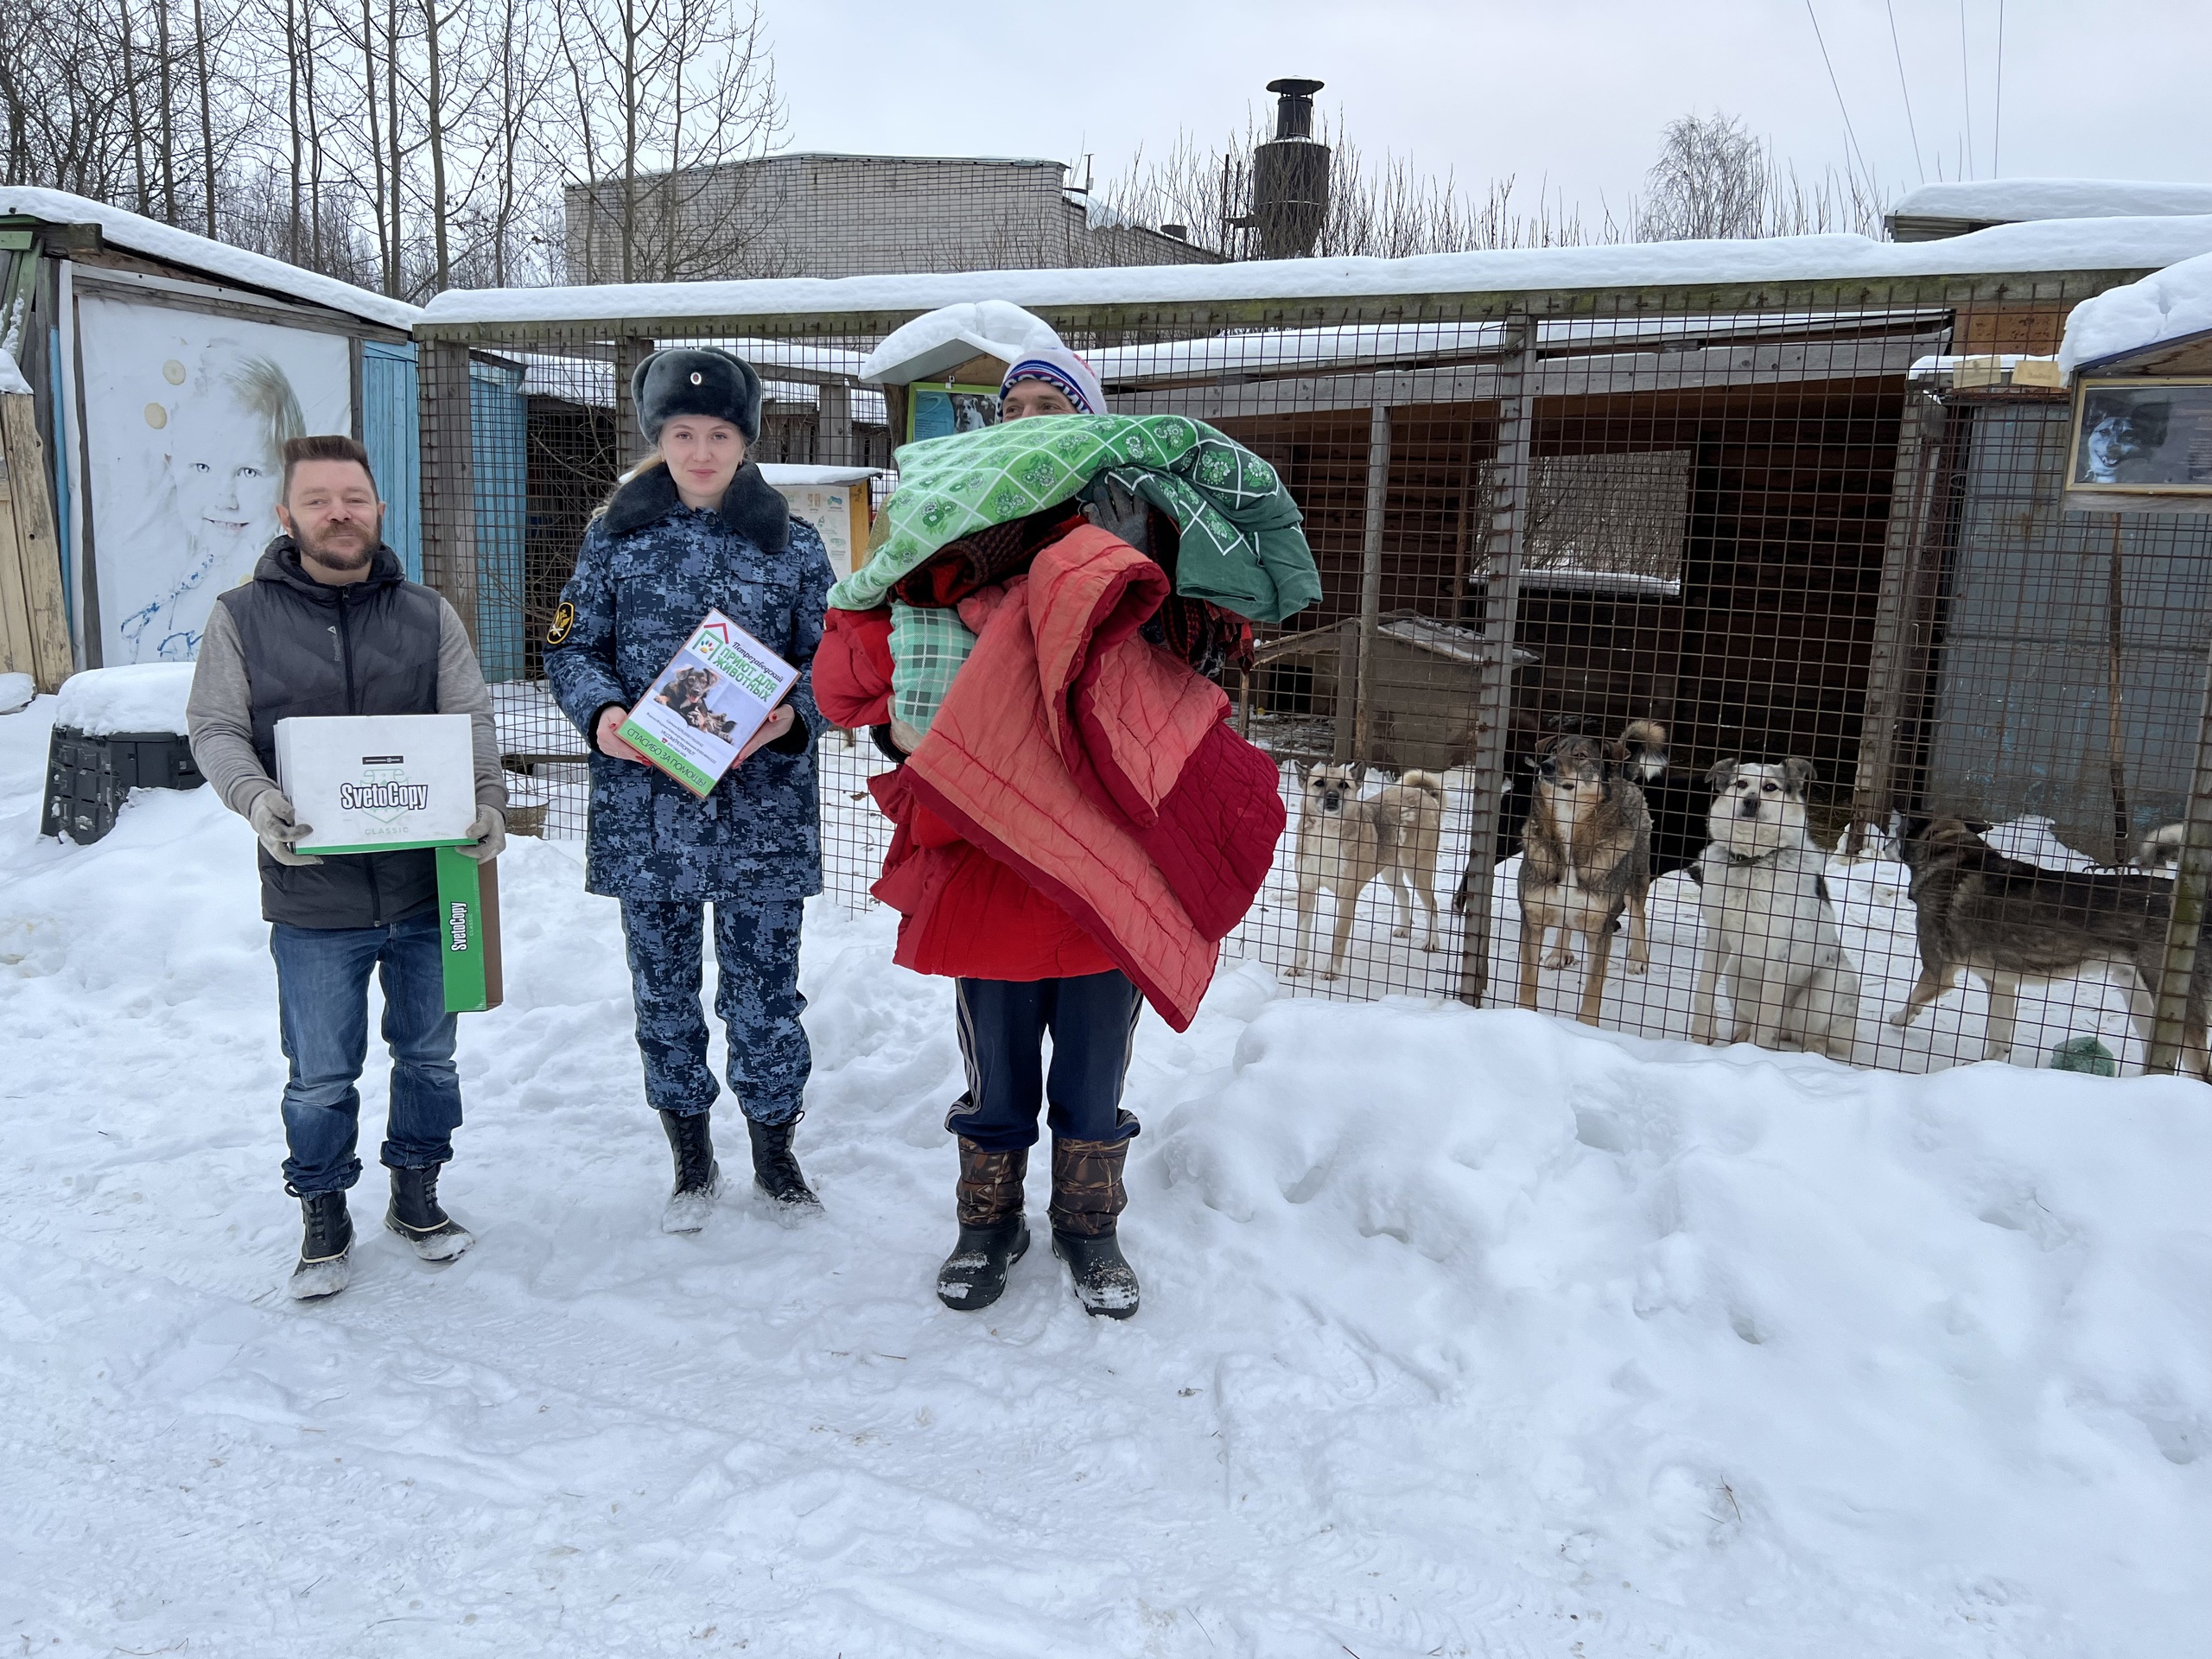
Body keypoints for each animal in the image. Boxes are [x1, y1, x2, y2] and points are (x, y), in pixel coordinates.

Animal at [1292, 769, 1442, 986]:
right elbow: (1302, 936)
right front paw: (1297, 967)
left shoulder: (1347, 897)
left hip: (1417, 869)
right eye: (1319, 783)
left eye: (1344, 785)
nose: (1332, 797)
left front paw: (1332, 971)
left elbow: (1339, 937)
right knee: (1404, 895)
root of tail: (1423, 794)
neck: (1327, 832)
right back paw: (1404, 929)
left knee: (1432, 904)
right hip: (1389, 870)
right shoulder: (1306, 891)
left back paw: (1431, 942)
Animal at [1513, 739, 1654, 1026]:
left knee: (1639, 913)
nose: (1546, 766)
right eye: (1554, 751)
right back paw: (1559, 953)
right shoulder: (1532, 918)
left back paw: (1638, 958)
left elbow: (1594, 985)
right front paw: (1525, 1016)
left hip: (1636, 878)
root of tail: (1625, 777)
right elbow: (1528, 979)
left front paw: (1588, 1026)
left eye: (1581, 756)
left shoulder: (1601, 927)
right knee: (1565, 923)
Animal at [1689, 756, 1866, 1057]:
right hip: (1736, 973)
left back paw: (1813, 1047)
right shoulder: (1718, 937)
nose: (1751, 801)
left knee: (1817, 1034)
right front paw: (1701, 1038)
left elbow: (1766, 1014)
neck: (1752, 861)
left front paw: (1752, 1056)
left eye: (1770, 787)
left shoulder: (1779, 952)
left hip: (1828, 988)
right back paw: (1743, 1034)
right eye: (1741, 784)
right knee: (1762, 1021)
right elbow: (1703, 988)